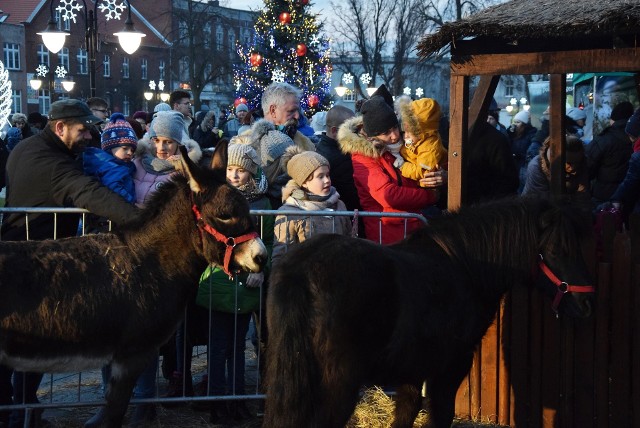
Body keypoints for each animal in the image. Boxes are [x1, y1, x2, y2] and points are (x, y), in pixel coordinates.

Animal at [264, 196, 596, 428]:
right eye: (555, 251)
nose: (586, 305)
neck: (464, 266)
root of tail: (302, 271)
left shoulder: (413, 369)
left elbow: (406, 413)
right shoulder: (451, 367)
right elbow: (441, 414)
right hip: (338, 385)